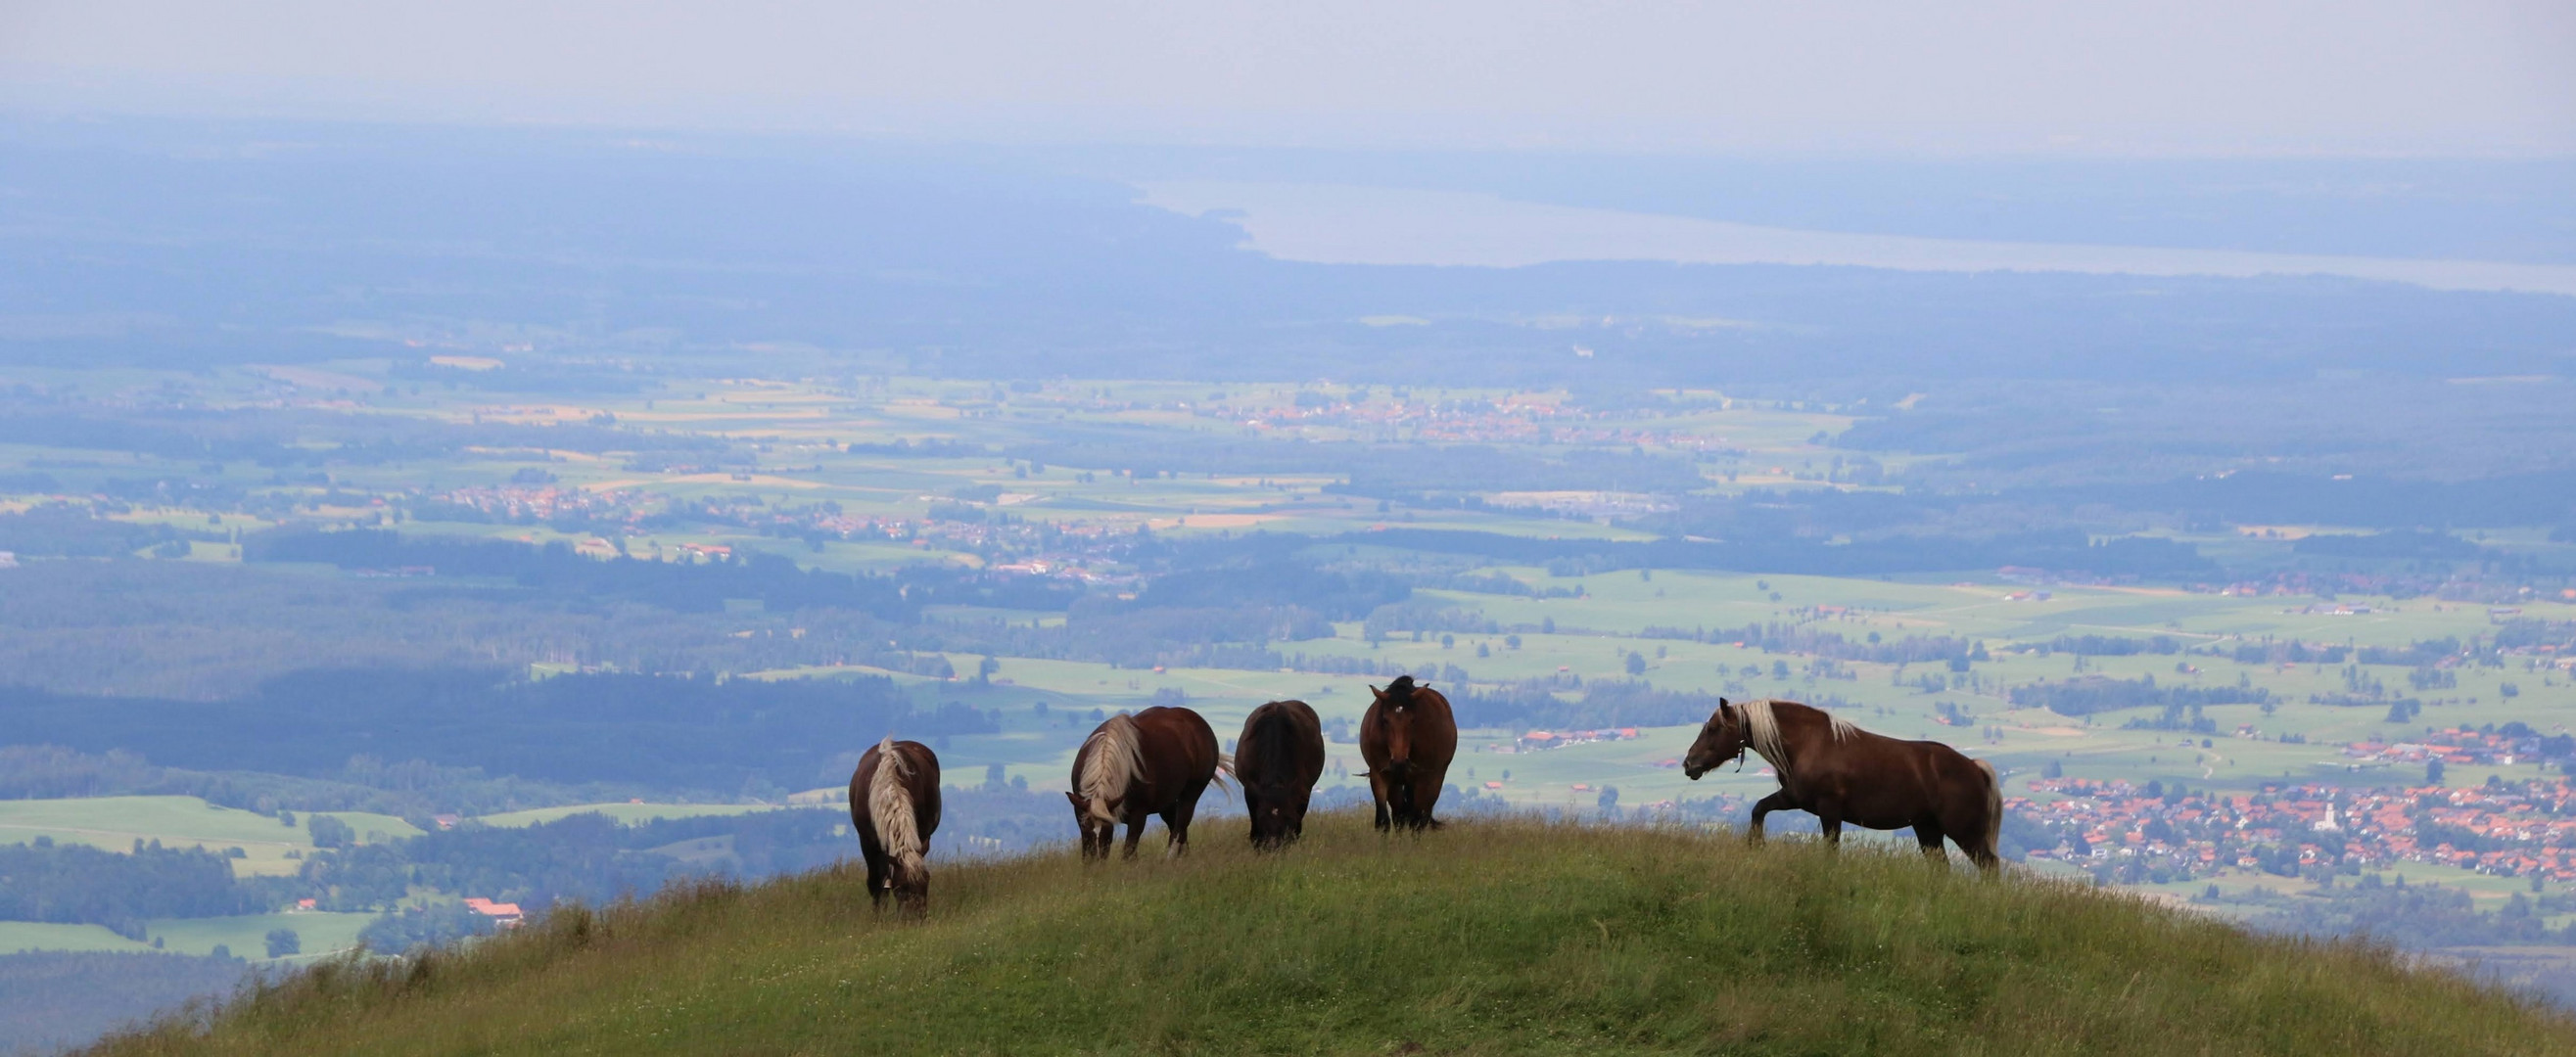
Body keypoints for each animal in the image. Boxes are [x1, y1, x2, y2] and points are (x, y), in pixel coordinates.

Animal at [855, 737, 948, 912]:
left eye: (926, 884)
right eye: (900, 888)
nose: (916, 916)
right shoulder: (868, 843)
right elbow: (876, 884)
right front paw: (878, 915)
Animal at [1066, 706, 1226, 860]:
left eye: (1108, 831)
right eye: (1088, 831)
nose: (1098, 861)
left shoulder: (1138, 814)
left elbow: (1129, 852)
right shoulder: (1080, 811)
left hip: (1191, 793)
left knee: (1180, 827)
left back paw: (1171, 858)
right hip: (1167, 802)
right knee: (1176, 825)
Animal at [1360, 675, 1463, 835]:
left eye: (1413, 720)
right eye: (1385, 719)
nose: (1399, 762)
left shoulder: (1422, 780)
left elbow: (1416, 821)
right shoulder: (1379, 775)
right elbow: (1384, 820)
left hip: (1434, 780)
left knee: (1421, 817)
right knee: (1400, 814)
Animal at [1679, 696, 1998, 871]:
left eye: (1713, 728)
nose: (1689, 764)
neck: (1809, 743)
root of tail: (1974, 767)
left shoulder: (1829, 810)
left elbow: (1831, 848)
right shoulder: (1793, 798)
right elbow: (1759, 809)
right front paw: (1756, 845)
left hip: (1964, 833)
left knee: (1990, 866)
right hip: (1928, 830)